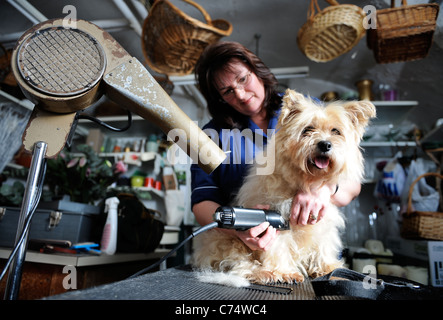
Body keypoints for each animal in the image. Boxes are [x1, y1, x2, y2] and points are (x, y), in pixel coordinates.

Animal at [193, 89, 376, 286]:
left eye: (336, 131)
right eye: (308, 129)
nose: (325, 144)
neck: (306, 182)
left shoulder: (322, 221)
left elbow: (323, 245)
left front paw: (329, 269)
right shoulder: (277, 219)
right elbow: (278, 247)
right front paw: (284, 272)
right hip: (227, 241)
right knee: (240, 265)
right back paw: (263, 273)